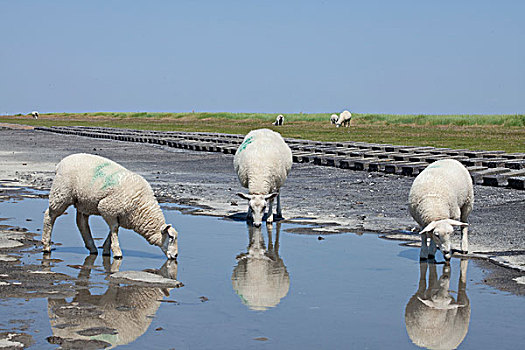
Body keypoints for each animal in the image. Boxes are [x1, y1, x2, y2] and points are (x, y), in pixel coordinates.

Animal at [41, 154, 180, 260]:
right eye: (171, 237)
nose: (176, 255)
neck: (142, 206)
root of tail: (61, 163)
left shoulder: (117, 215)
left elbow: (112, 231)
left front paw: (107, 249)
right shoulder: (107, 208)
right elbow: (114, 229)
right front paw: (117, 253)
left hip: (83, 201)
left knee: (81, 222)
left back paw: (92, 247)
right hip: (61, 194)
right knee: (50, 216)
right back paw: (46, 245)